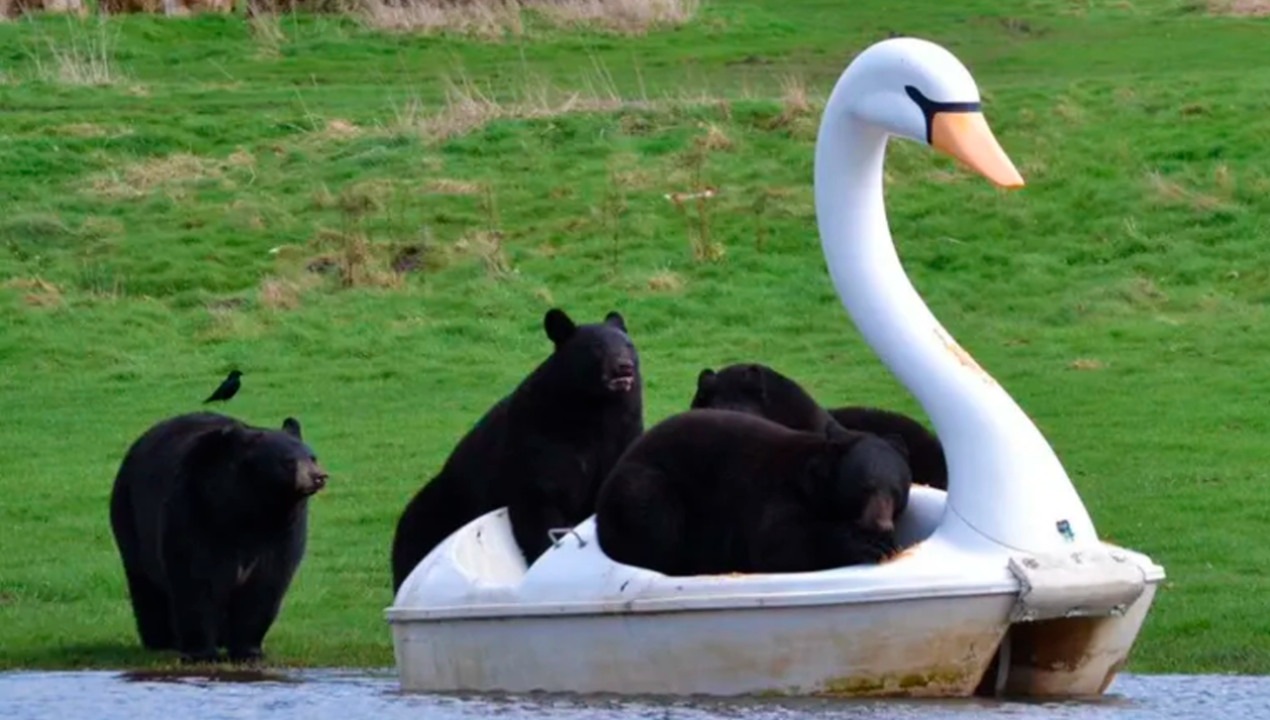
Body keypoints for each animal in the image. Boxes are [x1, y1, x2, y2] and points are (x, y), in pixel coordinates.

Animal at [108, 412, 328, 664]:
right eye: (289, 461)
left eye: (312, 457)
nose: (319, 476)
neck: (252, 510)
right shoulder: (197, 511)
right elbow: (196, 582)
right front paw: (201, 654)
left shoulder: (282, 531)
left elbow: (265, 584)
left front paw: (249, 652)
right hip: (129, 516)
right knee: (144, 583)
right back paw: (160, 641)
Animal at [390, 307, 643, 593]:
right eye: (597, 347)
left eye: (628, 345)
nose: (624, 365)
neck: (596, 410)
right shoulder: (538, 441)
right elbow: (538, 503)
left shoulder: (622, 434)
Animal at [595, 409, 912, 577]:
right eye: (865, 487)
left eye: (896, 492)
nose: (881, 525)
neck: (817, 487)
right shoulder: (777, 491)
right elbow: (779, 544)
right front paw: (867, 545)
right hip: (642, 486)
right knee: (654, 518)